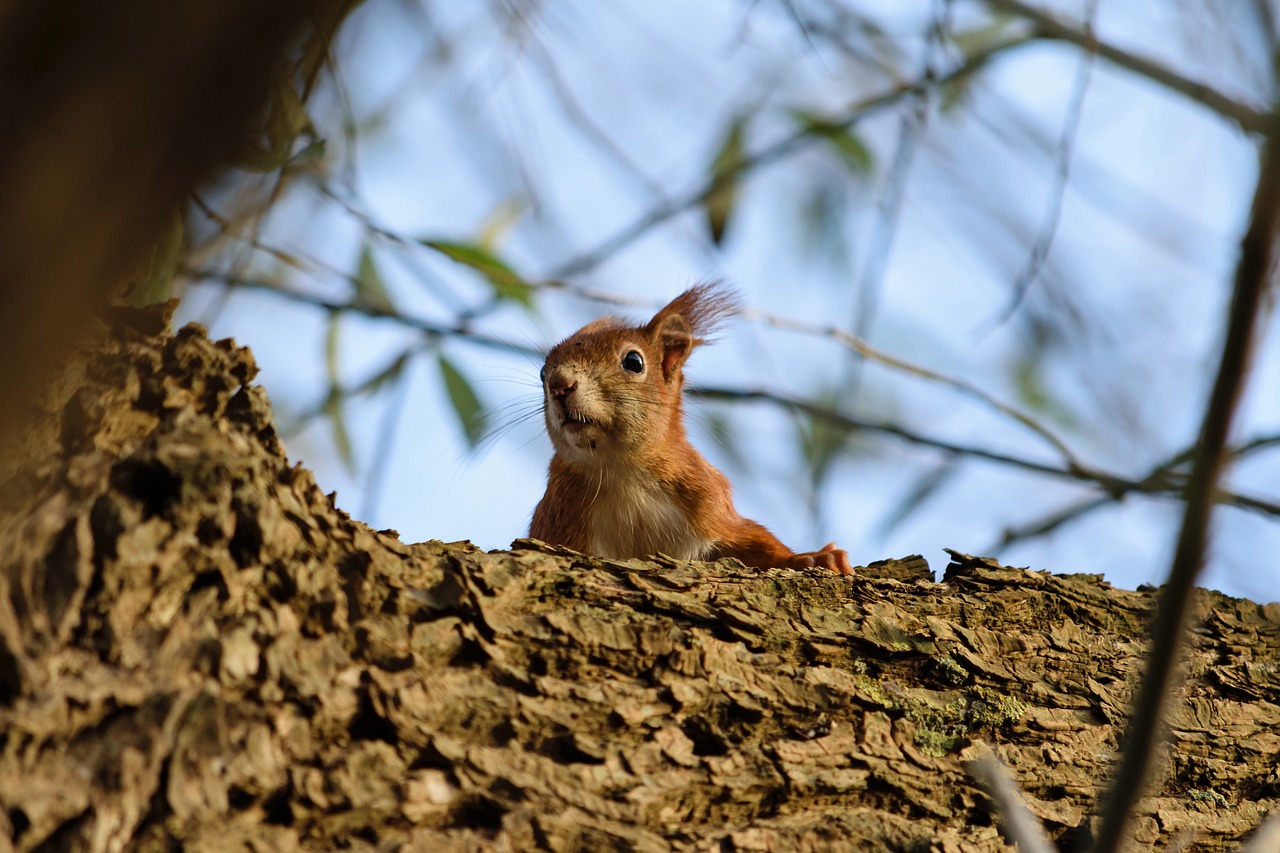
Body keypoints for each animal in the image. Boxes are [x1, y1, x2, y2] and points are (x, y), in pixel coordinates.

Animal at [529, 284, 849, 571]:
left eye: (634, 361)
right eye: (543, 372)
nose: (559, 385)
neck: (620, 471)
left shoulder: (706, 501)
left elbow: (754, 541)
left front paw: (813, 558)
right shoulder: (559, 516)